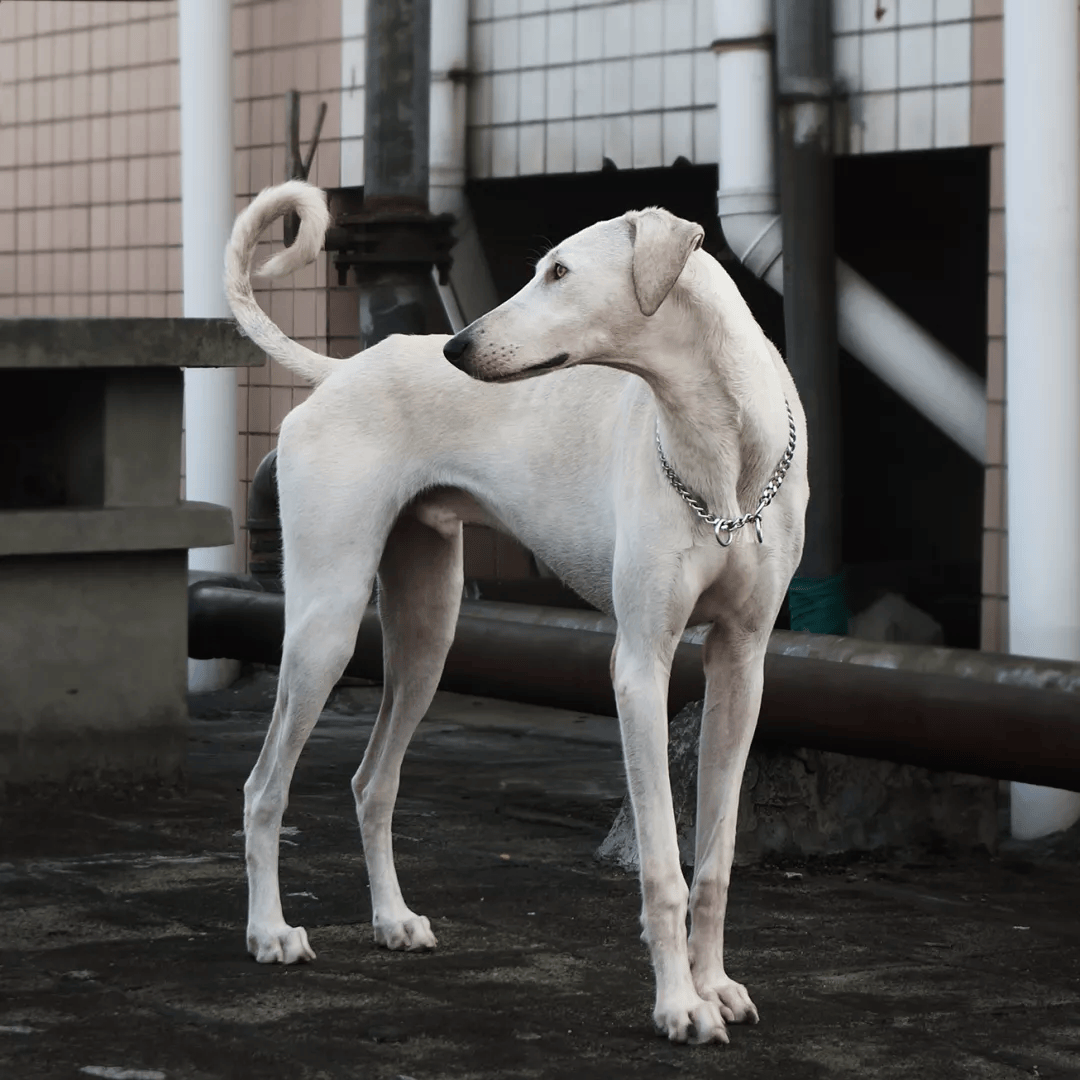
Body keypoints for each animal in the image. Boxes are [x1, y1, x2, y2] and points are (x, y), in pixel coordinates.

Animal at [223, 179, 807, 1045]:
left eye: (559, 271)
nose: (456, 350)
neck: (723, 449)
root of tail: (345, 370)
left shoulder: (741, 664)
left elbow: (715, 857)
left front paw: (717, 986)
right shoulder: (640, 667)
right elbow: (663, 863)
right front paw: (678, 1004)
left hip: (428, 635)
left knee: (373, 780)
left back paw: (392, 919)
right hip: (324, 629)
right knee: (264, 787)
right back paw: (267, 932)